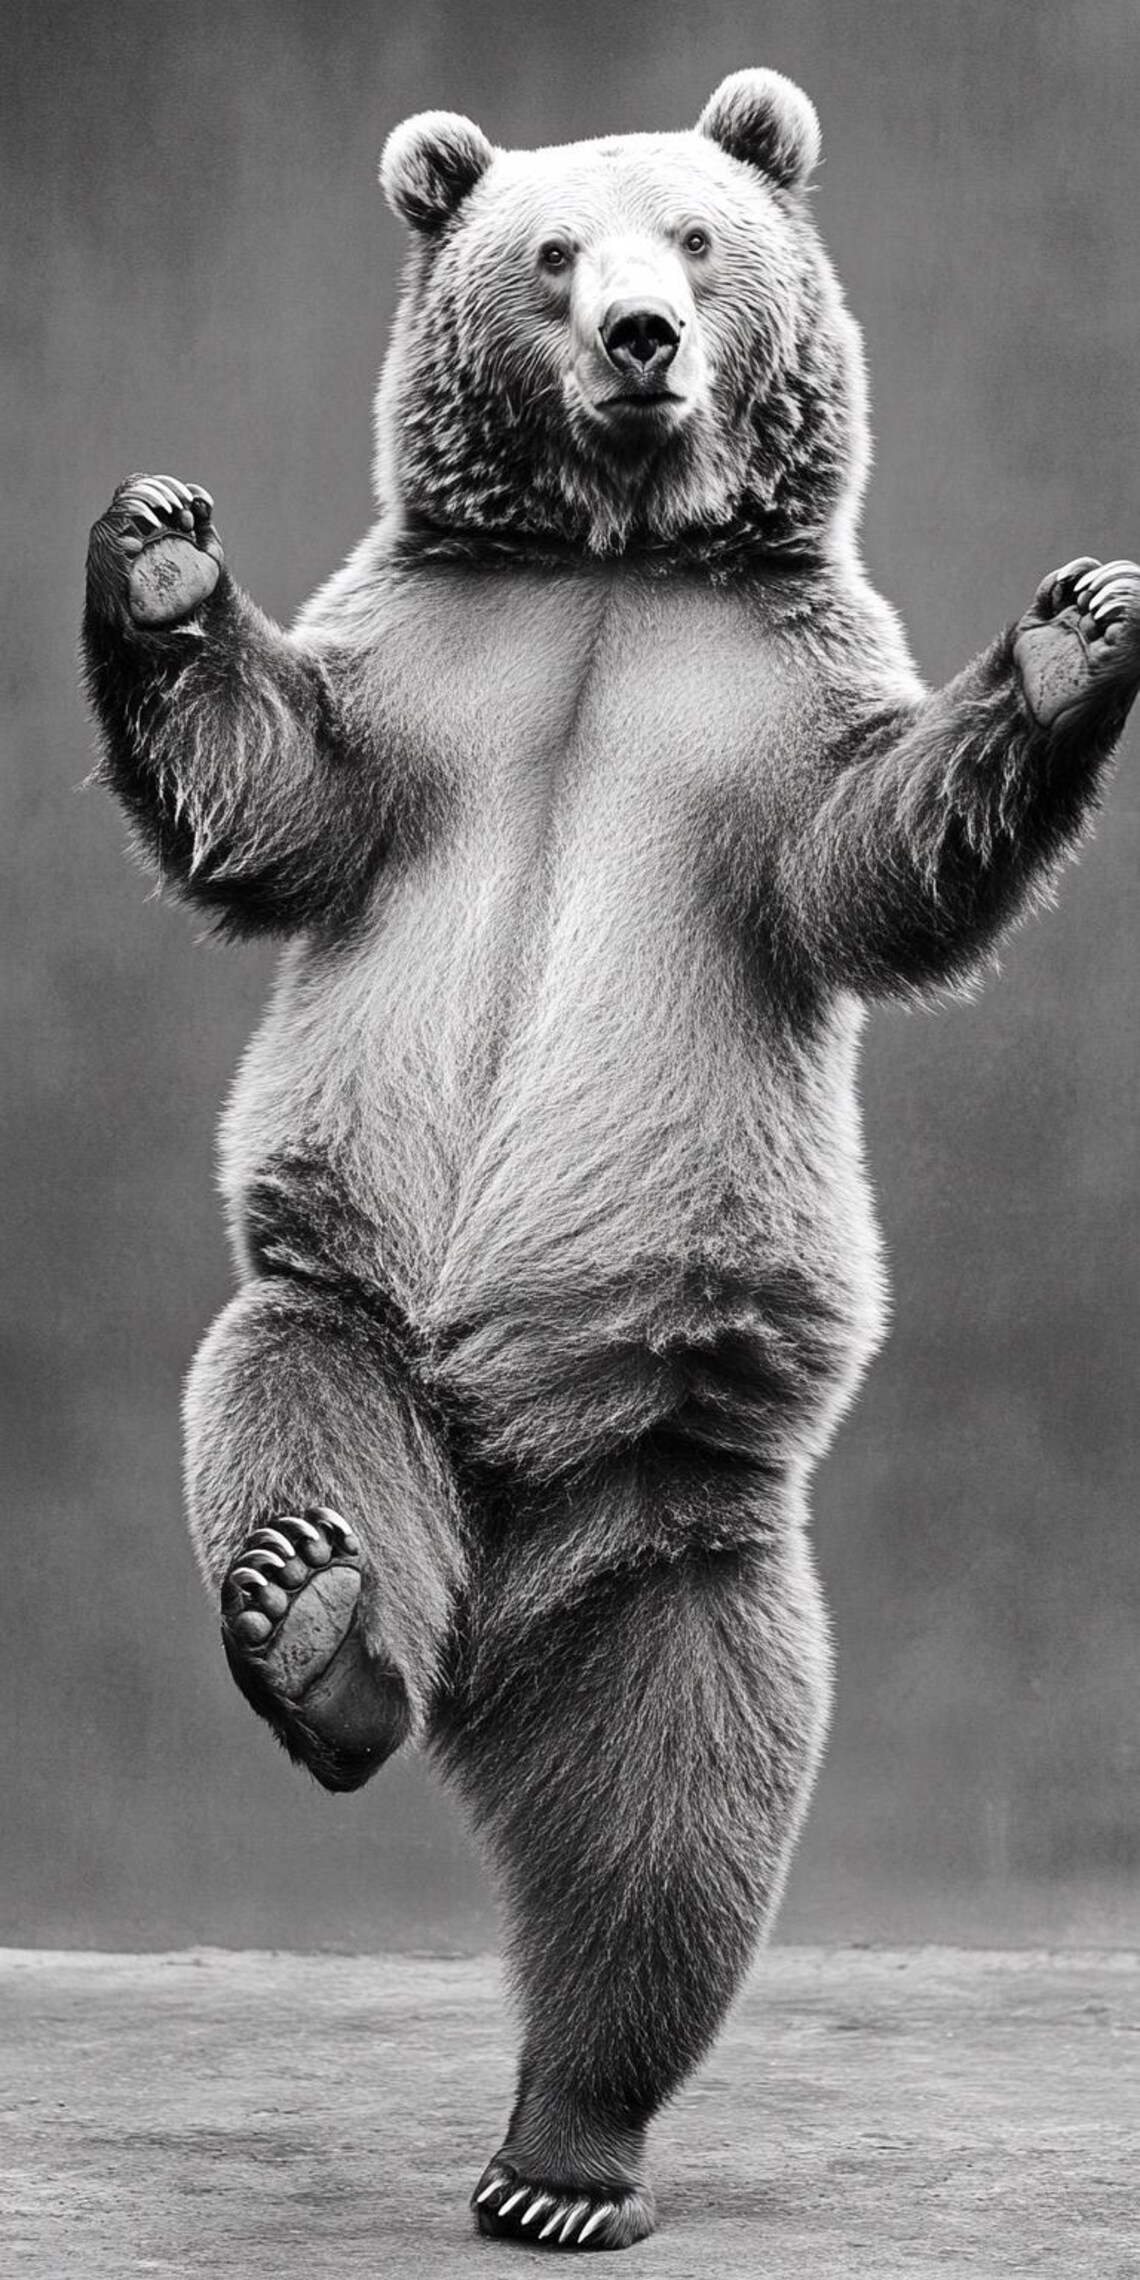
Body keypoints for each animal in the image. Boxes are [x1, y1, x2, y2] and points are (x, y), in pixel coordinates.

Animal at [82, 69, 1140, 2253]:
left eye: (702, 236)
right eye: (556, 252)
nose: (646, 337)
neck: (613, 571)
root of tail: (496, 1600)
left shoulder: (774, 699)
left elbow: (864, 864)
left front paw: (1078, 633)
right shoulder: (421, 662)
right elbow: (276, 803)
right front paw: (153, 554)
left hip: (684, 1508)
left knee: (675, 1823)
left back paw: (569, 2152)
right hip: (349, 1316)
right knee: (281, 1416)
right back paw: (317, 1629)